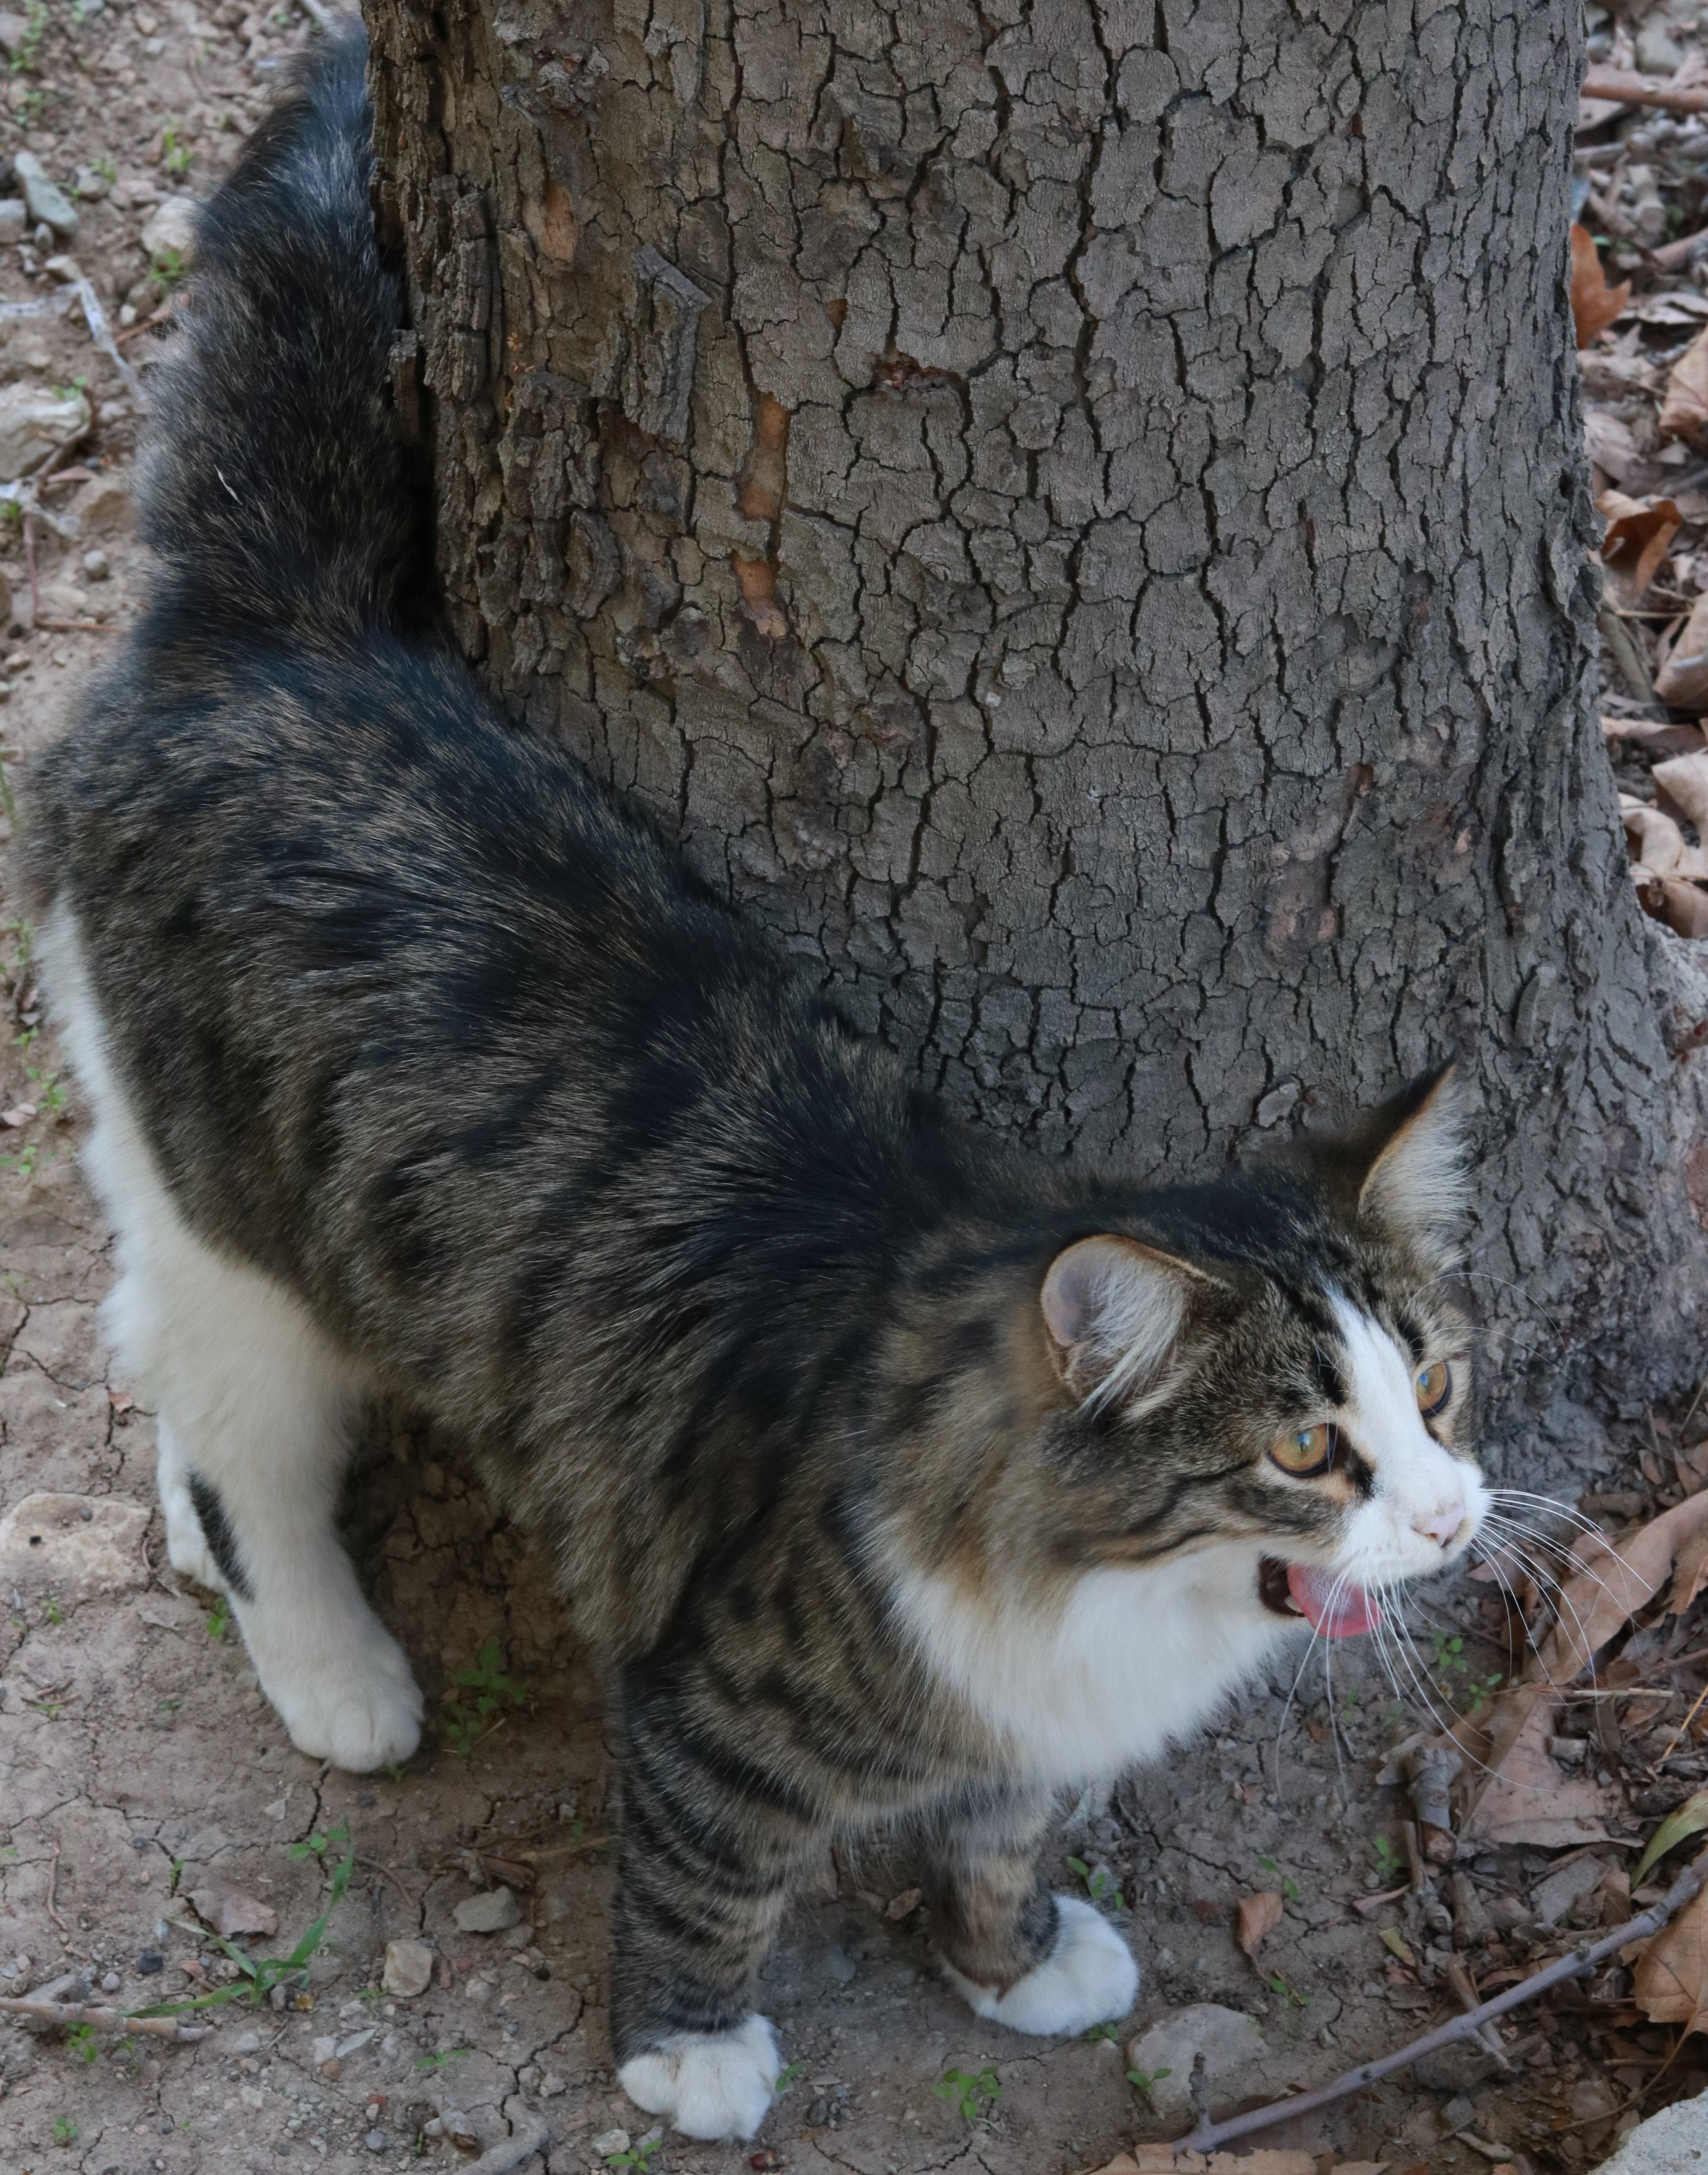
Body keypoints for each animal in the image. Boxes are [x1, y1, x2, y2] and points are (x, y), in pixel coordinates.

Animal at [30, 34, 1497, 2140]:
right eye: (1308, 1445)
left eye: (1436, 1389)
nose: (1458, 1520)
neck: (1136, 1605)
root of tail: (275, 638)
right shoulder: (716, 1693)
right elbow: (703, 1869)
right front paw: (691, 2049)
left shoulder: (1030, 1743)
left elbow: (1001, 1834)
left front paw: (1015, 1960)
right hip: (249, 1227)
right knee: (235, 1431)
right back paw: (330, 1664)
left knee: (147, 1348)